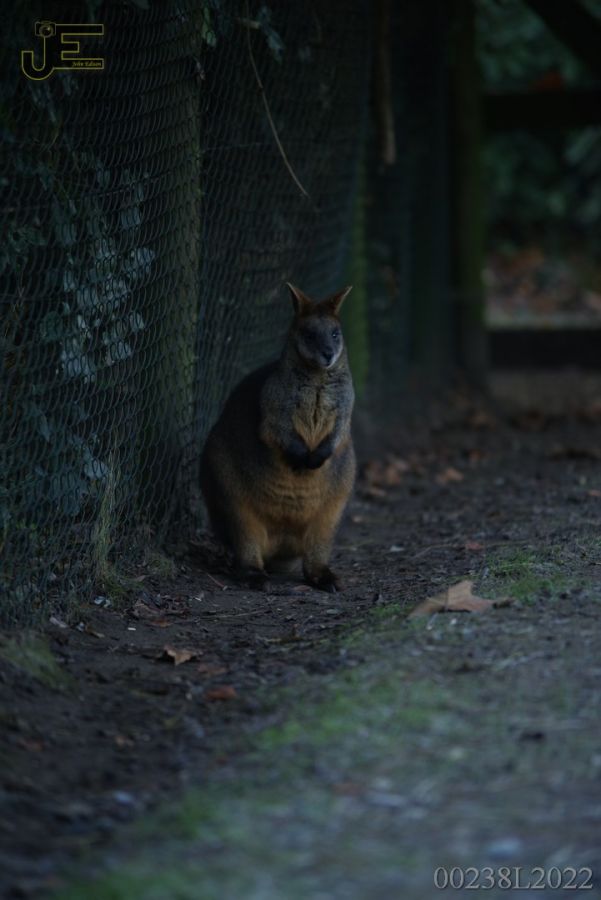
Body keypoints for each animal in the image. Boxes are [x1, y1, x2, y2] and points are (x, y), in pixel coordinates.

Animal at [200, 282, 355, 592]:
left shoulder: (345, 411)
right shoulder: (273, 409)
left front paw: (314, 460)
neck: (317, 377)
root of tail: (281, 546)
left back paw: (325, 577)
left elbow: (337, 435)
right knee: (246, 540)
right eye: (309, 334)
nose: (328, 354)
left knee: (317, 547)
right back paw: (255, 577)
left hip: (335, 502)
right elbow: (276, 431)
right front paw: (301, 459)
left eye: (335, 333)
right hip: (229, 489)